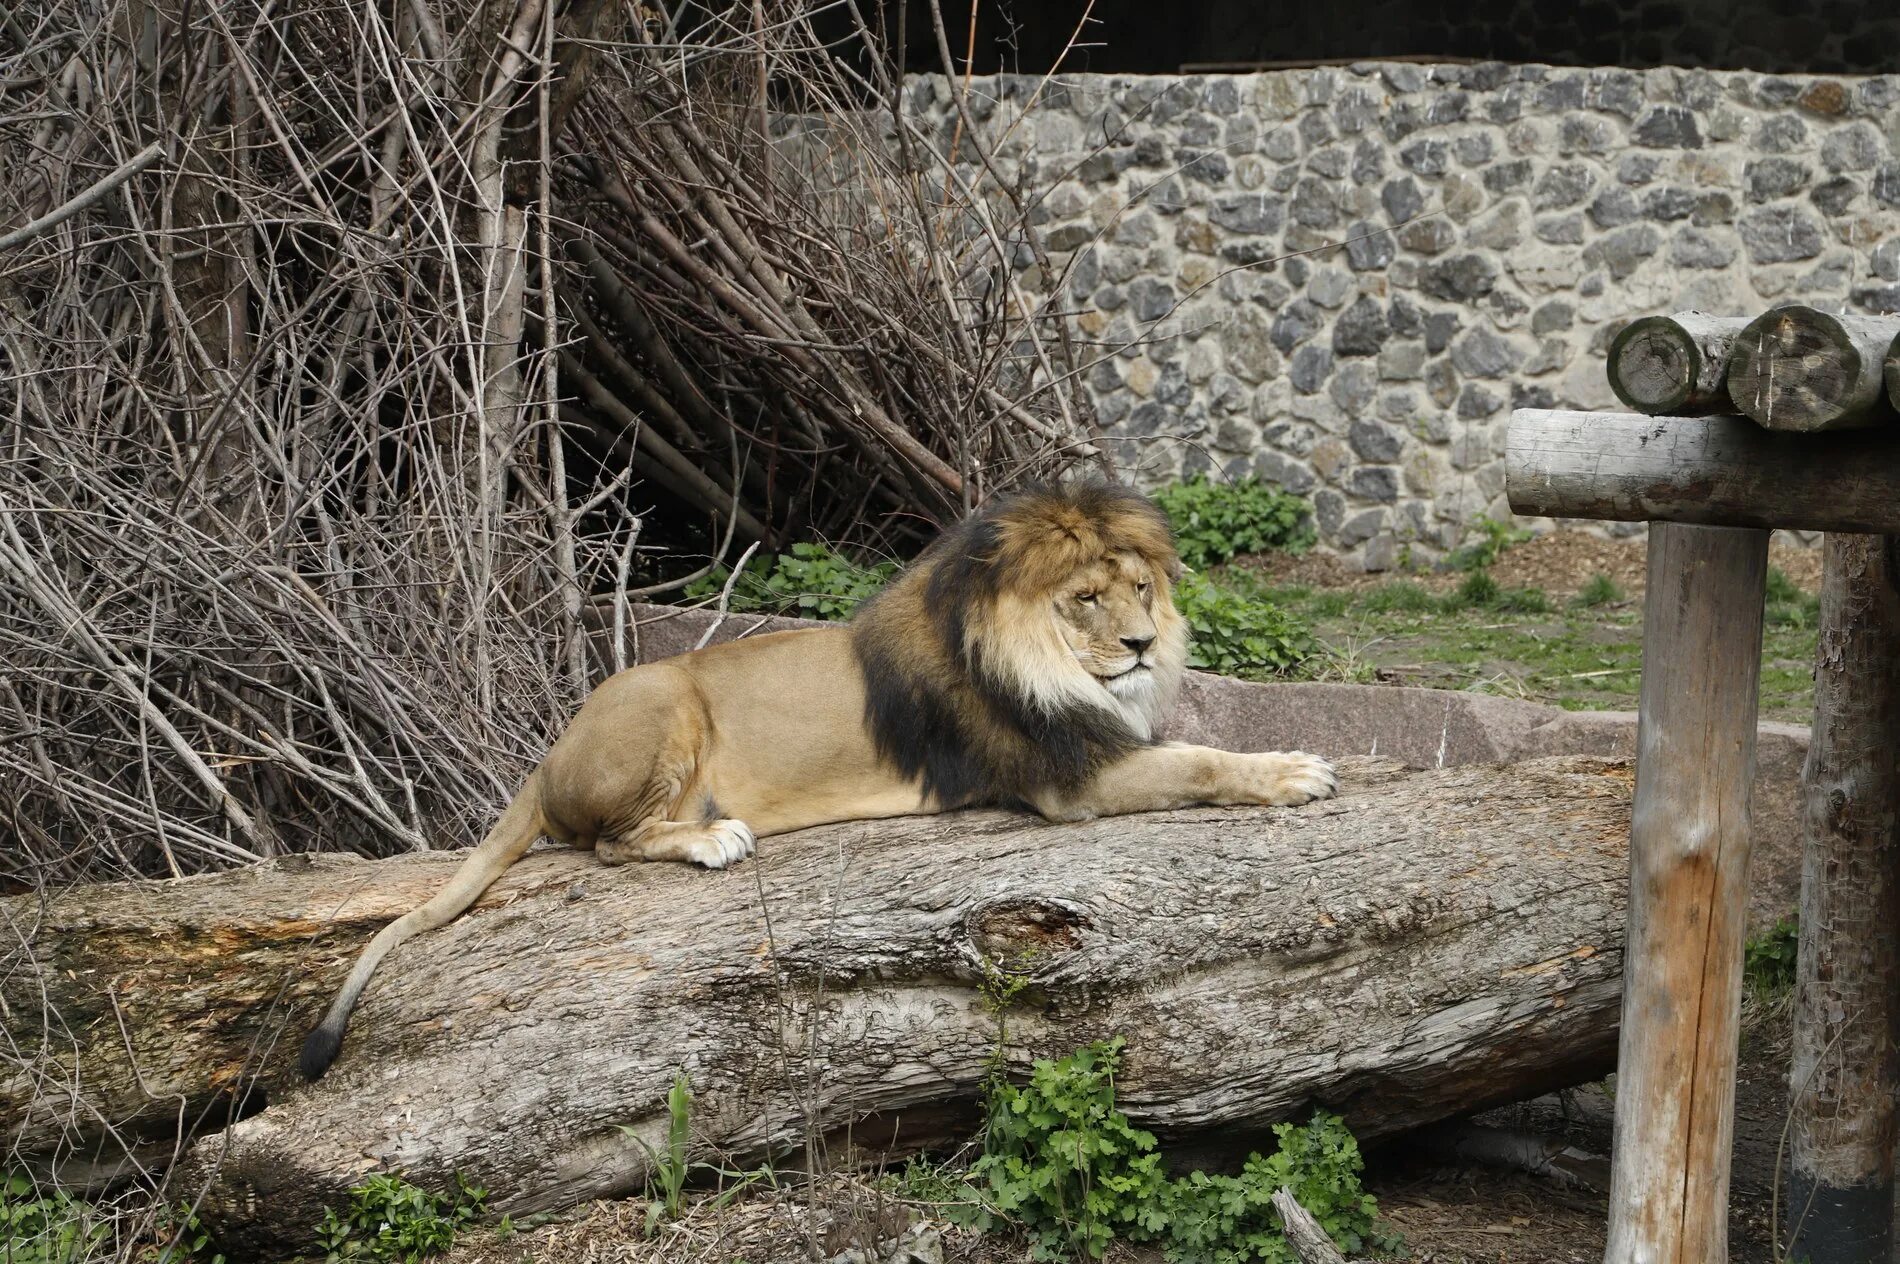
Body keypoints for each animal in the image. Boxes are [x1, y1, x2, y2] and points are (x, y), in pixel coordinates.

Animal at [296, 480, 1337, 1072]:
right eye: (1086, 598)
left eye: (1142, 588)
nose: (1142, 642)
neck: (1041, 655)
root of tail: (548, 751)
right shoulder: (1066, 780)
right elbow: (1201, 760)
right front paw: (1294, 769)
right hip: (663, 697)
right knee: (607, 846)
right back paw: (713, 837)